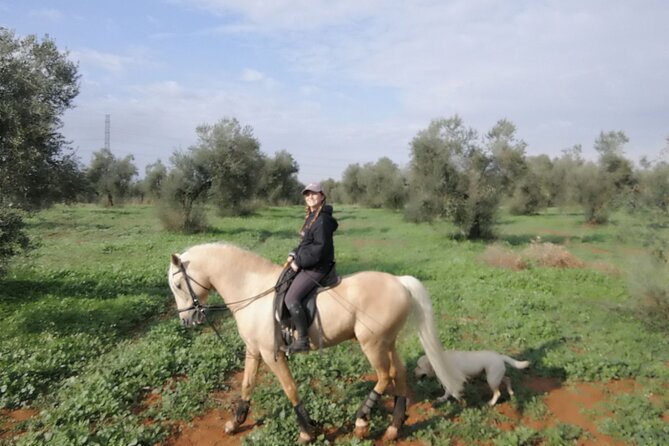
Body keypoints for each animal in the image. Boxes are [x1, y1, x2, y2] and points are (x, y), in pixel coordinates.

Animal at [167, 242, 464, 443]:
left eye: (179, 285)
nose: (187, 320)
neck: (252, 289)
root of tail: (400, 282)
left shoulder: (272, 353)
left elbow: (290, 389)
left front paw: (307, 431)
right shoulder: (254, 350)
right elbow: (247, 385)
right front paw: (235, 423)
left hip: (372, 344)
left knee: (384, 375)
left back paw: (361, 421)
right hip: (387, 342)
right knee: (399, 375)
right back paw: (394, 427)